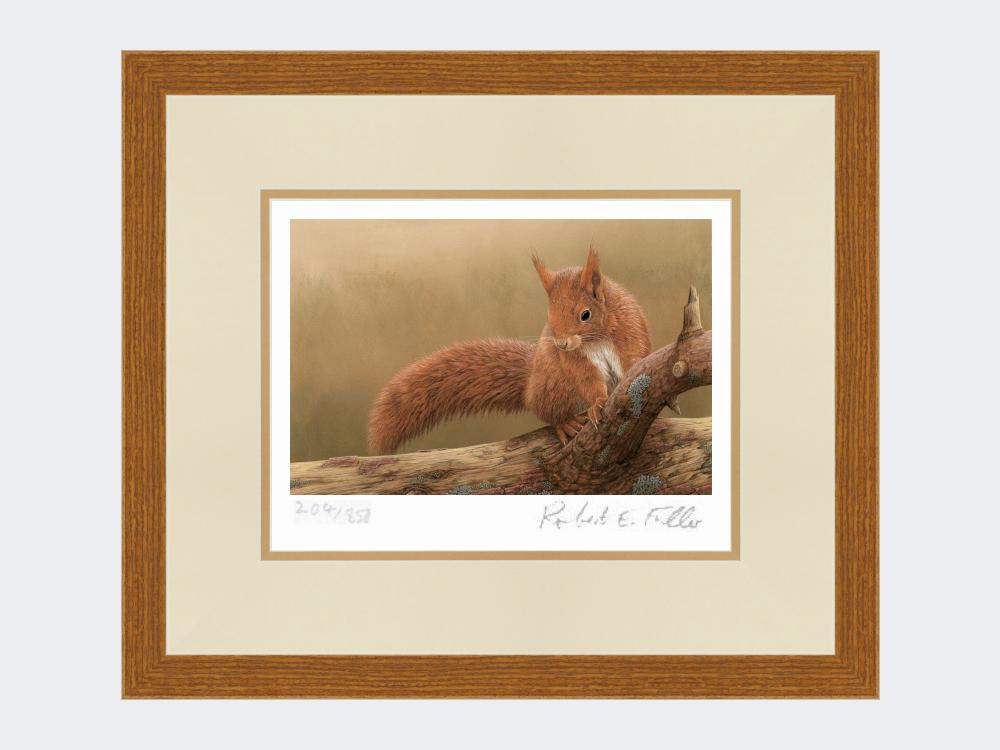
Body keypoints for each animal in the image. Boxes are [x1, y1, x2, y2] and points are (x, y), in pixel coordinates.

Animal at [367, 247, 652, 454]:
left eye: (585, 314)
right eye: (548, 317)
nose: (560, 344)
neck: (594, 339)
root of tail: (530, 386)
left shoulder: (629, 330)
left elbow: (635, 357)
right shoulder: (574, 361)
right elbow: (586, 378)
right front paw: (597, 404)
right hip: (555, 385)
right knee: (550, 413)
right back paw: (566, 423)